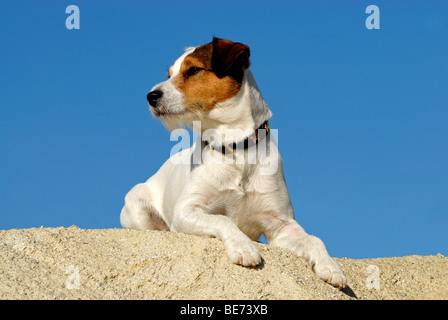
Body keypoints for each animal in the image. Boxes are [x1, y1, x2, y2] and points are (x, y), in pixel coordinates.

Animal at [120, 37, 346, 288]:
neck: (236, 148)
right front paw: (243, 247)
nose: (150, 96)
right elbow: (224, 220)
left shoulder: (281, 224)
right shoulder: (186, 210)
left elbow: (315, 239)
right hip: (137, 207)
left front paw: (331, 267)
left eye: (193, 70)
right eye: (170, 74)